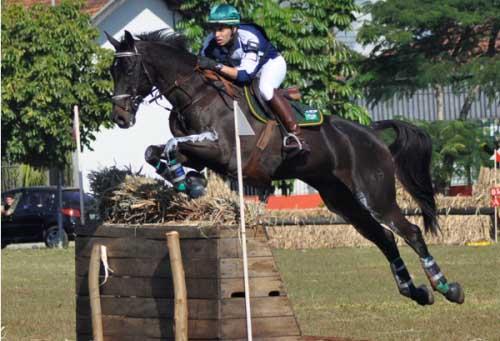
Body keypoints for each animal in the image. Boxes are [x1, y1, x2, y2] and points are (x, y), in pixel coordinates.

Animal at [105, 29, 464, 306]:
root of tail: (372, 134)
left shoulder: (224, 152)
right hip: (341, 200)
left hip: (375, 195)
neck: (196, 94)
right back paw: (416, 292)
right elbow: (156, 151)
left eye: (129, 68)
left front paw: (190, 184)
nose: (120, 118)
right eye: (112, 70)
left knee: (410, 232)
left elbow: (169, 145)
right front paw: (189, 183)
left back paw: (448, 288)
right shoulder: (201, 153)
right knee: (385, 238)